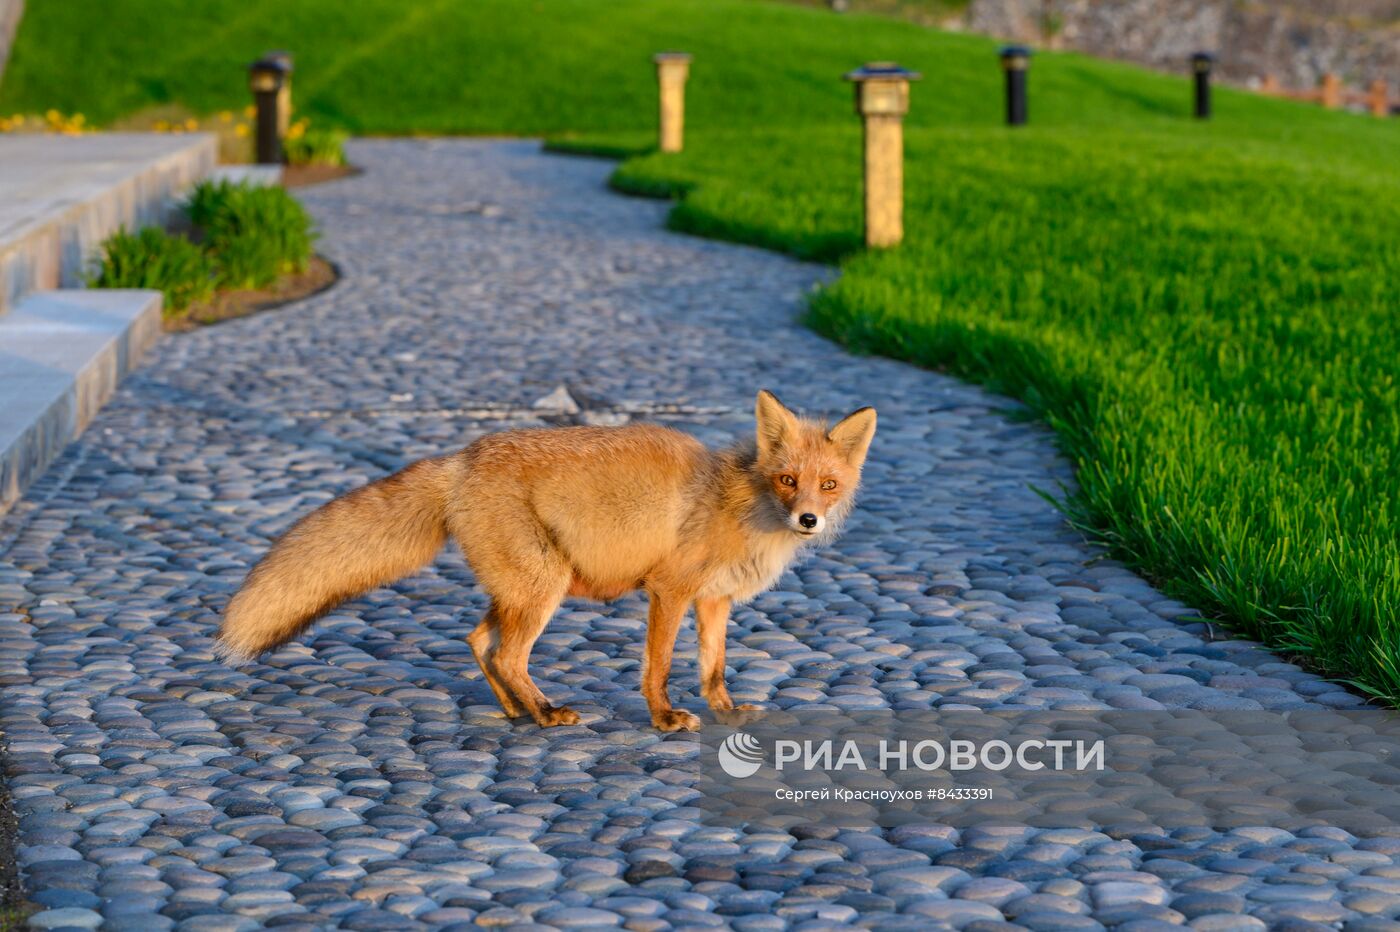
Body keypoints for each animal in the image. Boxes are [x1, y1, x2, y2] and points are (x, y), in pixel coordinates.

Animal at [217, 389, 873, 727]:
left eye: (828, 485)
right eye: (788, 480)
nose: (808, 520)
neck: (738, 503)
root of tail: (462, 457)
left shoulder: (713, 601)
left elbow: (713, 668)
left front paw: (728, 712)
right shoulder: (670, 589)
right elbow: (659, 668)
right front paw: (664, 719)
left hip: (520, 588)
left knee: (480, 643)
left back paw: (519, 711)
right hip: (542, 587)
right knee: (507, 654)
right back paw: (545, 712)